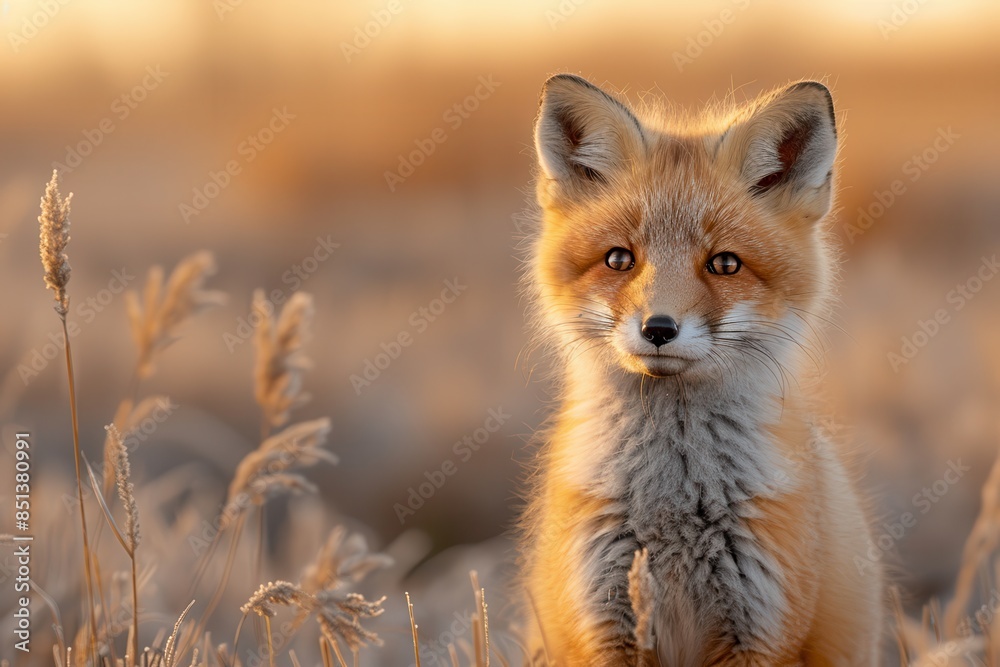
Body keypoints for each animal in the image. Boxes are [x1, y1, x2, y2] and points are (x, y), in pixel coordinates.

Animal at [518, 74, 884, 666]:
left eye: (725, 264)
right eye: (619, 259)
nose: (658, 328)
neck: (673, 508)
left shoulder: (761, 628)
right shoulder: (604, 622)